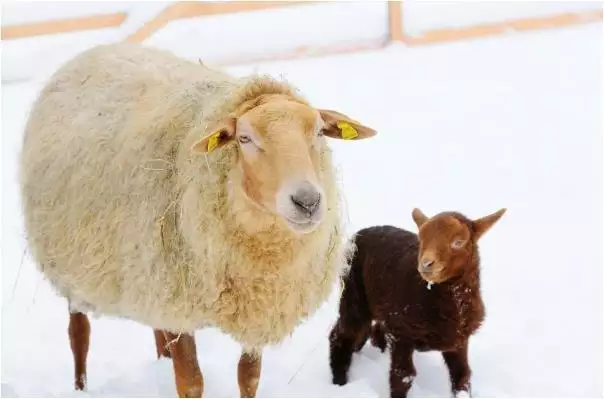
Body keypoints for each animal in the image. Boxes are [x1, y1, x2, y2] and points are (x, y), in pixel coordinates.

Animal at [21, 42, 378, 398]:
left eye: (318, 131)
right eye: (245, 138)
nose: (307, 201)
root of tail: (99, 48)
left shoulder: (257, 306)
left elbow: (249, 377)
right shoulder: (182, 297)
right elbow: (191, 382)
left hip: (149, 272)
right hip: (73, 265)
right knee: (79, 335)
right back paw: (80, 386)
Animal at [328, 208, 508, 398]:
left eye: (458, 242)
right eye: (421, 239)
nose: (426, 264)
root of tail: (359, 234)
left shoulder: (459, 340)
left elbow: (462, 375)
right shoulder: (401, 333)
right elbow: (402, 375)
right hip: (353, 293)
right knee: (341, 335)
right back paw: (339, 383)